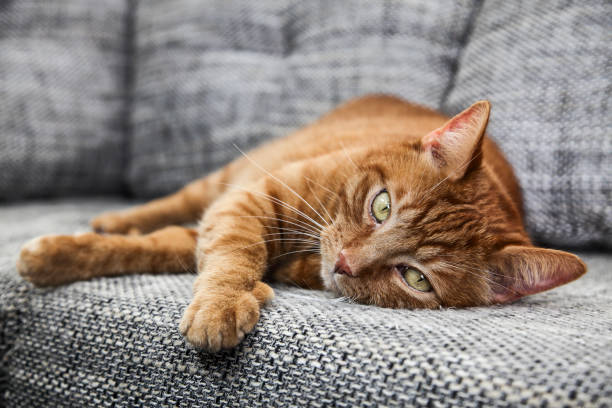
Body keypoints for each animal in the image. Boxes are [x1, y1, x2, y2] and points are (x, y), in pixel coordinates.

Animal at [16, 95, 584, 350]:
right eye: (381, 207)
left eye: (416, 278)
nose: (348, 263)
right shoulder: (246, 199)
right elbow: (232, 254)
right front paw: (222, 303)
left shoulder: (211, 225)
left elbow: (160, 249)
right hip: (219, 180)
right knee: (170, 203)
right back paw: (114, 217)